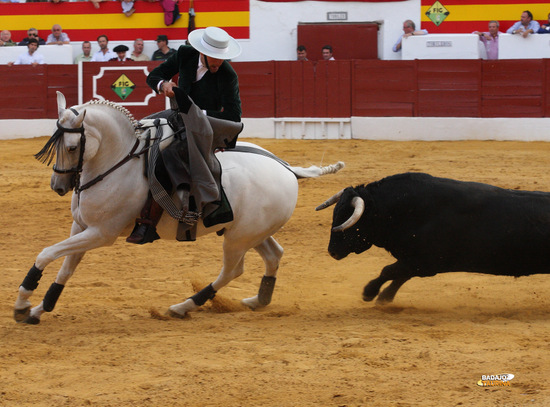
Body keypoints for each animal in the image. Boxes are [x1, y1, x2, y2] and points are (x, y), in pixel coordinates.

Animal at [14, 92, 344, 326]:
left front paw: (23, 303)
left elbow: (46, 253)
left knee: (232, 270)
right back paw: (256, 300)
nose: (58, 186)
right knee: (274, 255)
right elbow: (66, 268)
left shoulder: (101, 234)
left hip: (238, 240)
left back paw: (183, 306)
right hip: (251, 232)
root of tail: (287, 168)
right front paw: (39, 309)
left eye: (71, 147)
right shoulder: (81, 227)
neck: (117, 161)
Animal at [316, 171, 550, 302]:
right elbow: (399, 275)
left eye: (350, 222)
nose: (332, 252)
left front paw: (369, 293)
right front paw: (384, 298)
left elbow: (388, 271)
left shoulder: (424, 262)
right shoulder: (416, 262)